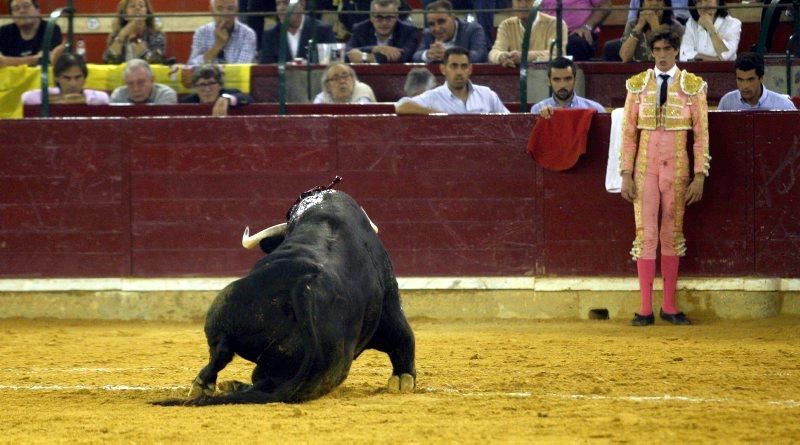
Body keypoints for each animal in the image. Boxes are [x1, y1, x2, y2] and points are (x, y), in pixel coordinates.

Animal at [157, 181, 418, 406]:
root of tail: (303, 289)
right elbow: (403, 337)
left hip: (226, 306)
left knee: (226, 357)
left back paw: (209, 385)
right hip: (328, 368)